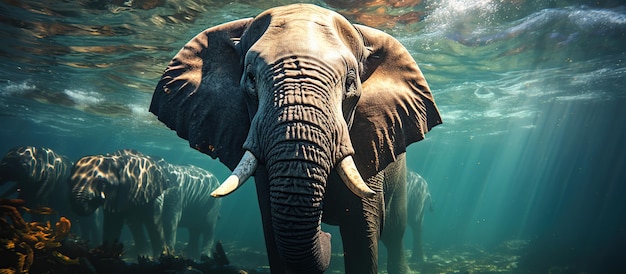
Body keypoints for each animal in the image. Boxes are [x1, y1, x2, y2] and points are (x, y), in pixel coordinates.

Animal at [147, 4, 438, 274]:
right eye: (250, 79)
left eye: (349, 84)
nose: (325, 234)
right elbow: (273, 235)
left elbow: (361, 232)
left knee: (395, 232)